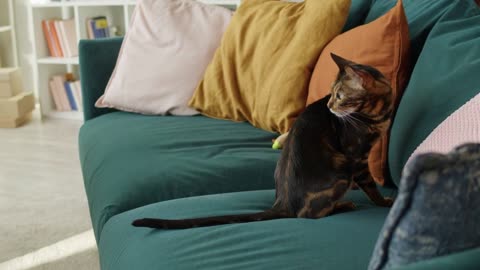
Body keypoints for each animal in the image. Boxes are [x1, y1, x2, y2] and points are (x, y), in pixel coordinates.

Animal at [132, 53, 394, 229]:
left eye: (339, 95)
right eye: (332, 93)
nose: (329, 105)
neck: (378, 114)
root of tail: (282, 202)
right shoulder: (357, 157)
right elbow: (371, 186)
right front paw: (384, 202)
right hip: (341, 173)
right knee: (309, 215)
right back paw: (344, 205)